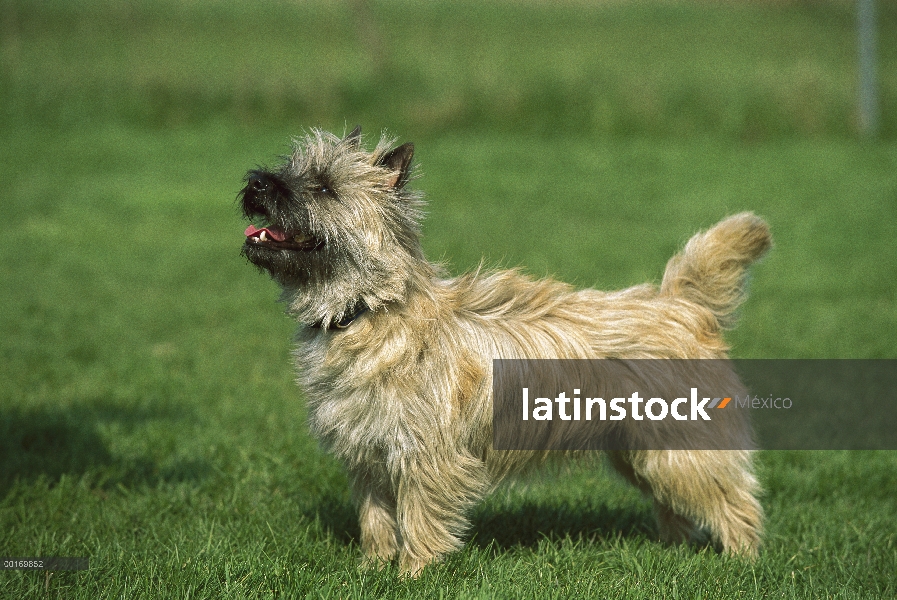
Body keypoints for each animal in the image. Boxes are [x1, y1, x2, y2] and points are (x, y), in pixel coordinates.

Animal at [238, 127, 768, 576]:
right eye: (289, 168)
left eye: (326, 187)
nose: (257, 182)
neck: (368, 309)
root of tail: (681, 303)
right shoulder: (368, 452)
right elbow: (376, 517)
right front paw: (372, 568)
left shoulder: (426, 454)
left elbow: (418, 517)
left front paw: (411, 575)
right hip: (640, 451)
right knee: (676, 503)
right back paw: (674, 550)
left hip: (677, 449)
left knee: (733, 500)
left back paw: (742, 561)